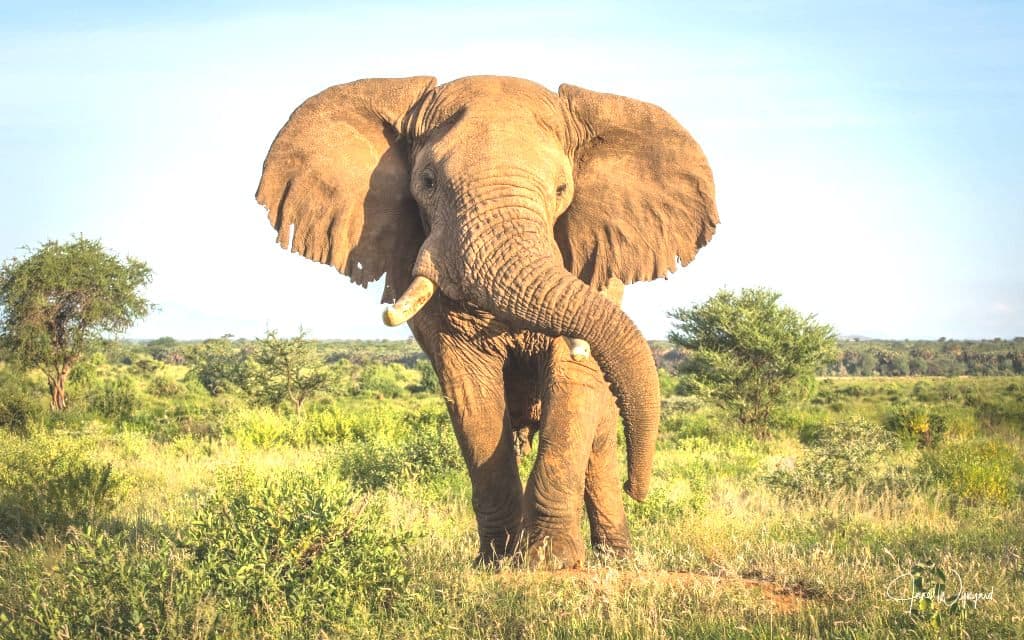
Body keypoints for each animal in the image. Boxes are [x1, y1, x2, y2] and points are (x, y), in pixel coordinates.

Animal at [255, 76, 718, 568]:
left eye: (561, 189)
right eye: (428, 182)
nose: (640, 487)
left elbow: (572, 379)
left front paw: (552, 563)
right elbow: (471, 393)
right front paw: (499, 563)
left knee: (597, 446)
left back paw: (617, 559)